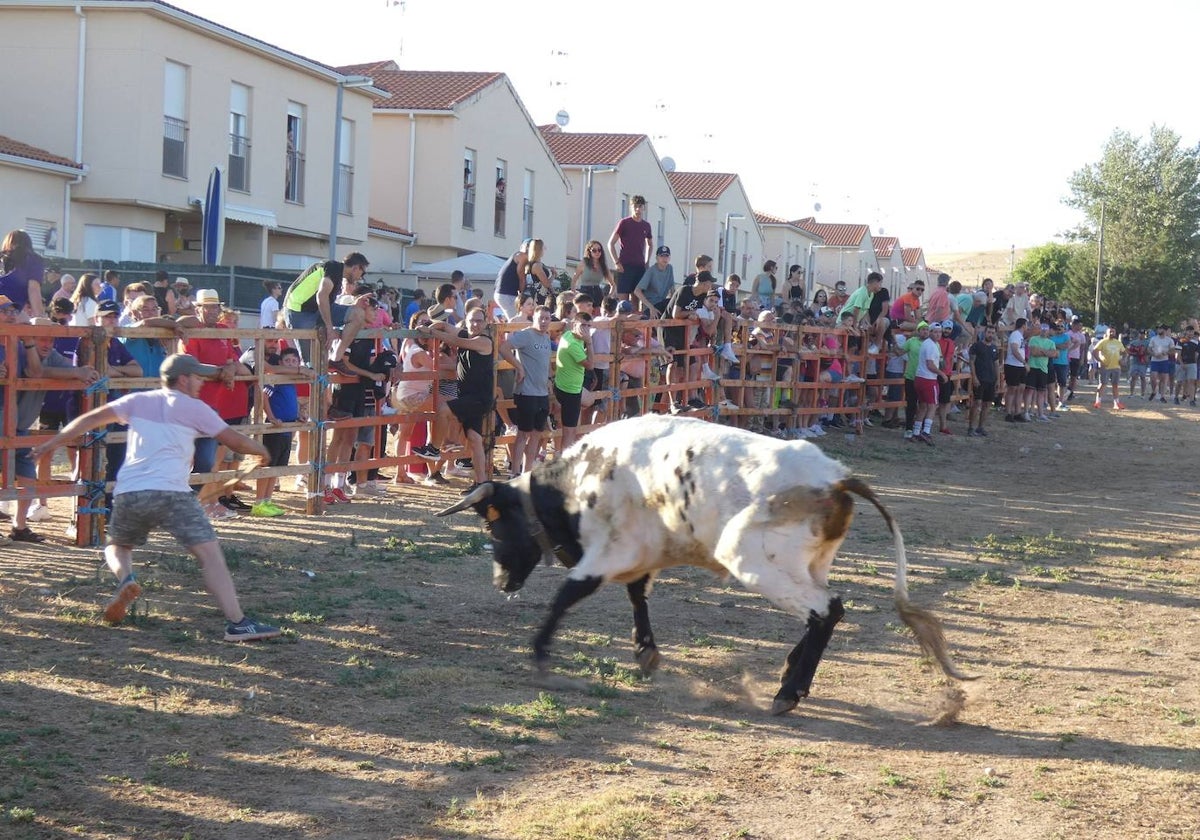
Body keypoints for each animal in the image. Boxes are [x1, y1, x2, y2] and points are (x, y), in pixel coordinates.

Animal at [441, 412, 974, 715]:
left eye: (493, 527)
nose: (501, 581)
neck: (576, 482)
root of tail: (838, 479)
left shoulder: (607, 552)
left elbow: (566, 596)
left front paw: (540, 654)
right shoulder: (642, 552)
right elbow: (637, 596)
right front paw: (645, 652)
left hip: (754, 560)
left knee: (825, 610)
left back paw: (788, 692)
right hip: (810, 563)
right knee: (826, 610)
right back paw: (790, 675)